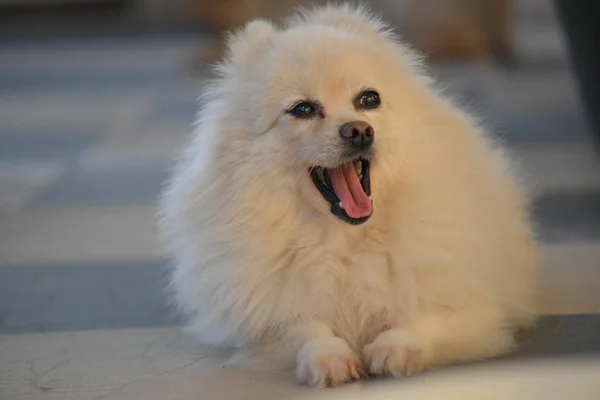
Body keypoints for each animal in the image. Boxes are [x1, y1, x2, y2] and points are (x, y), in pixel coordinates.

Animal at [158, 3, 540, 388]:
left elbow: (421, 319)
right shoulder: (267, 323)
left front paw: (396, 348)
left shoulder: (473, 310)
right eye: (302, 109)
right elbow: (306, 329)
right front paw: (328, 358)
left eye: (369, 99)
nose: (358, 130)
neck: (346, 241)